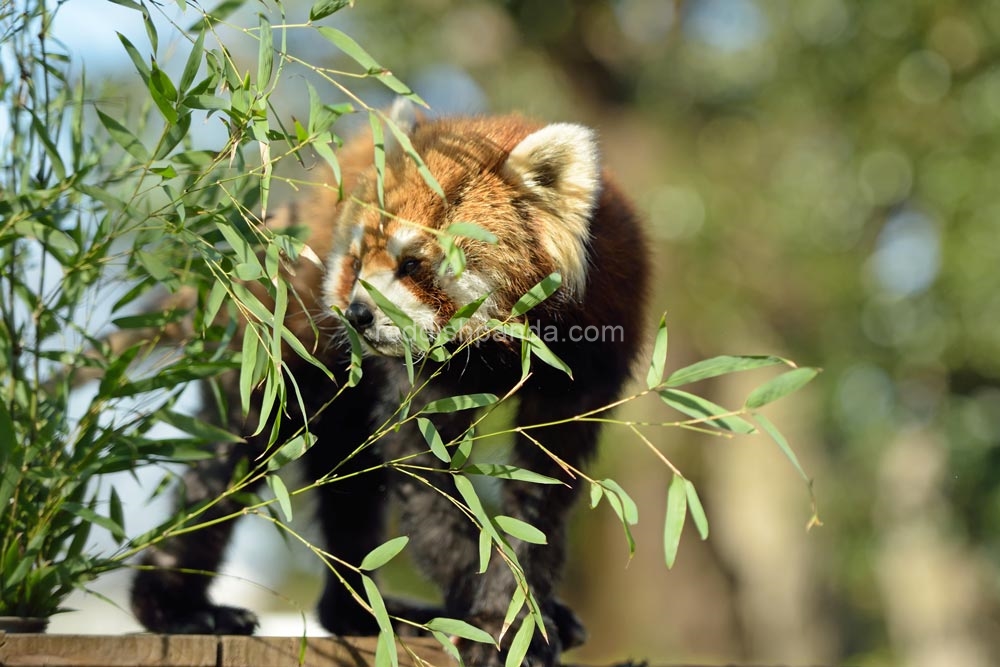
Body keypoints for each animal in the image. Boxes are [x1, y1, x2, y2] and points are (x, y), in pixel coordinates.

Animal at [129, 105, 652, 667]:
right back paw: (180, 609)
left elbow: (542, 494)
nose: (358, 314)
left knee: (348, 485)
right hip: (268, 346)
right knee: (231, 457)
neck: (495, 349)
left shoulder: (587, 362)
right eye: (357, 263)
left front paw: (526, 612)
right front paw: (493, 621)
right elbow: (426, 476)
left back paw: (366, 613)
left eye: (412, 264)